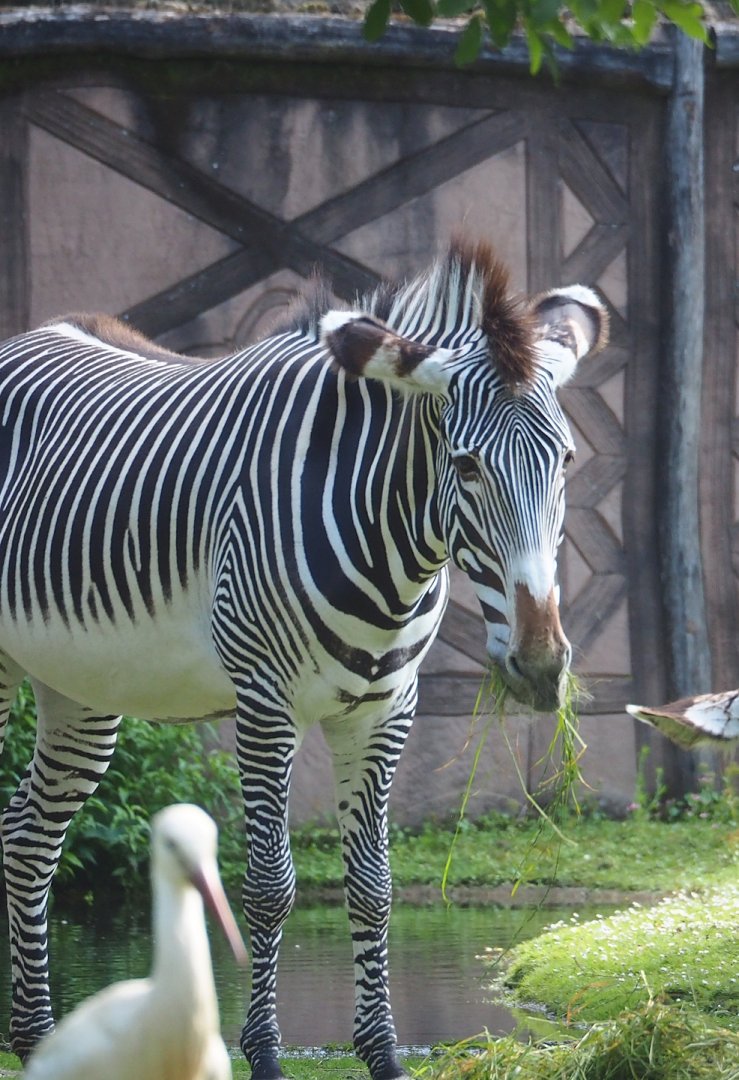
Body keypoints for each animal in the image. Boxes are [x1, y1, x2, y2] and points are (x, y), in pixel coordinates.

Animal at [0, 238, 607, 1078]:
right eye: (465, 465)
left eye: (566, 460)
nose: (542, 662)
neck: (389, 547)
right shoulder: (265, 703)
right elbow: (267, 885)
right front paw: (264, 1053)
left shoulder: (385, 710)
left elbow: (372, 885)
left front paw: (382, 1053)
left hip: (81, 687)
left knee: (28, 836)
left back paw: (34, 1038)